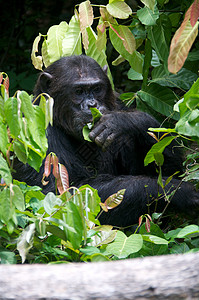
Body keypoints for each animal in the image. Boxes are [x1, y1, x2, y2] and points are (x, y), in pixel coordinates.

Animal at [13, 54, 198, 227]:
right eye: (78, 91)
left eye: (96, 89)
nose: (92, 104)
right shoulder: (36, 128)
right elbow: (57, 196)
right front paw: (179, 191)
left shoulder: (117, 102)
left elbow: (172, 170)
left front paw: (122, 121)